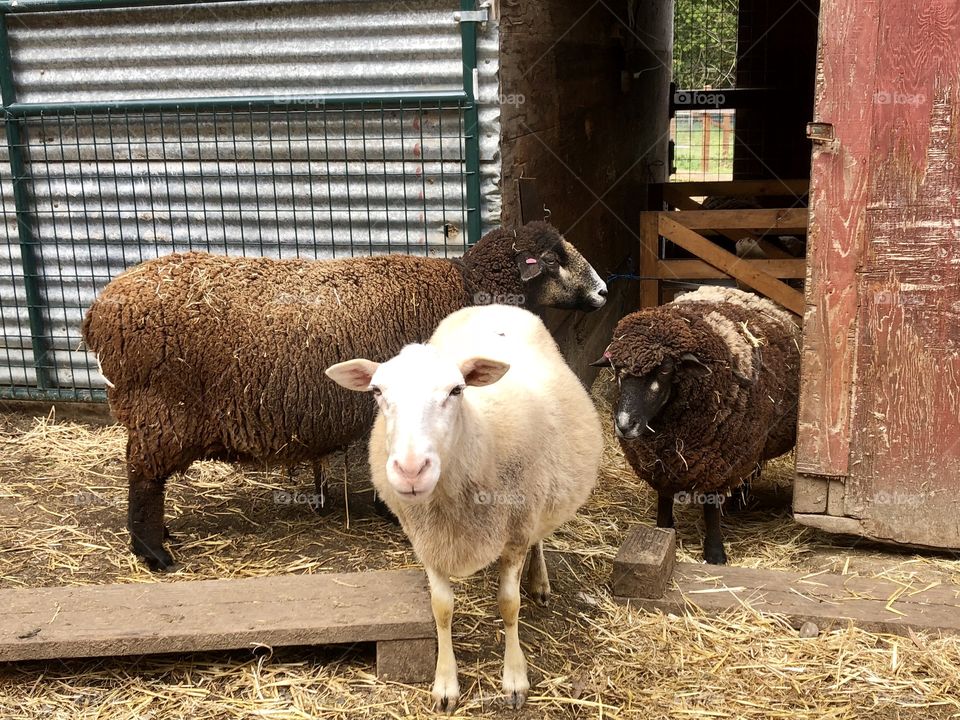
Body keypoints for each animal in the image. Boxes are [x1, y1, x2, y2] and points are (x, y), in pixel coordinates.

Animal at [81, 222, 608, 571]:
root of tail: (100, 312)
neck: (467, 287)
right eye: (553, 259)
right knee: (143, 479)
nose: (604, 292)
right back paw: (154, 552)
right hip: (163, 413)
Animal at [326, 304, 603, 711]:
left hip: (542, 492)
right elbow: (441, 609)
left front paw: (514, 678)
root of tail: (494, 305)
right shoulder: (427, 540)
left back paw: (539, 582)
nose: (411, 470)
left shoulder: (516, 532)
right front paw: (445, 684)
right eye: (377, 391)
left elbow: (509, 605)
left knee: (540, 535)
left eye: (456, 390)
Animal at [593, 286, 800, 564]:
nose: (624, 424)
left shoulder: (718, 462)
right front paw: (662, 532)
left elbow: (711, 506)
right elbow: (664, 498)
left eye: (665, 370)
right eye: (616, 369)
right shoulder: (662, 463)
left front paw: (715, 553)